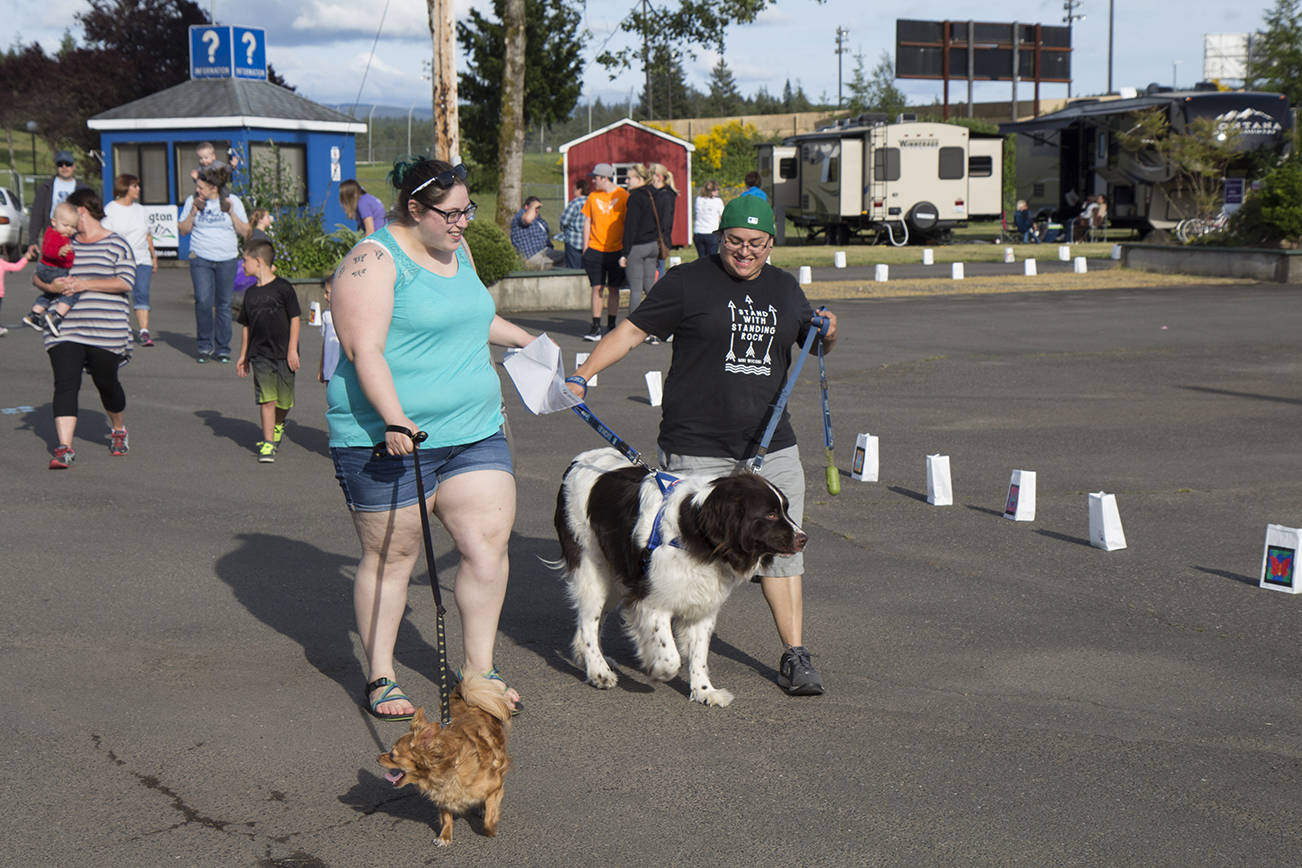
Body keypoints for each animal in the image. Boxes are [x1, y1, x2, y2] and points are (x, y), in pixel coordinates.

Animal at [374, 671, 510, 848]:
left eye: (392, 755)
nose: (377, 757)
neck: (448, 770)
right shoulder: (443, 796)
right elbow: (446, 817)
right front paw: (445, 836)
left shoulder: (496, 786)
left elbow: (490, 815)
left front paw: (491, 829)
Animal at [549, 447, 802, 707]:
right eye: (770, 514)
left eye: (785, 509)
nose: (803, 538)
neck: (699, 534)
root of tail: (579, 460)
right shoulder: (651, 601)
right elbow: (670, 656)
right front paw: (657, 670)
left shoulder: (702, 604)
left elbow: (699, 653)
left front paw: (704, 691)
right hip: (592, 568)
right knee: (589, 620)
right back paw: (598, 670)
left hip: (615, 578)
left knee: (594, 618)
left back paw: (589, 657)